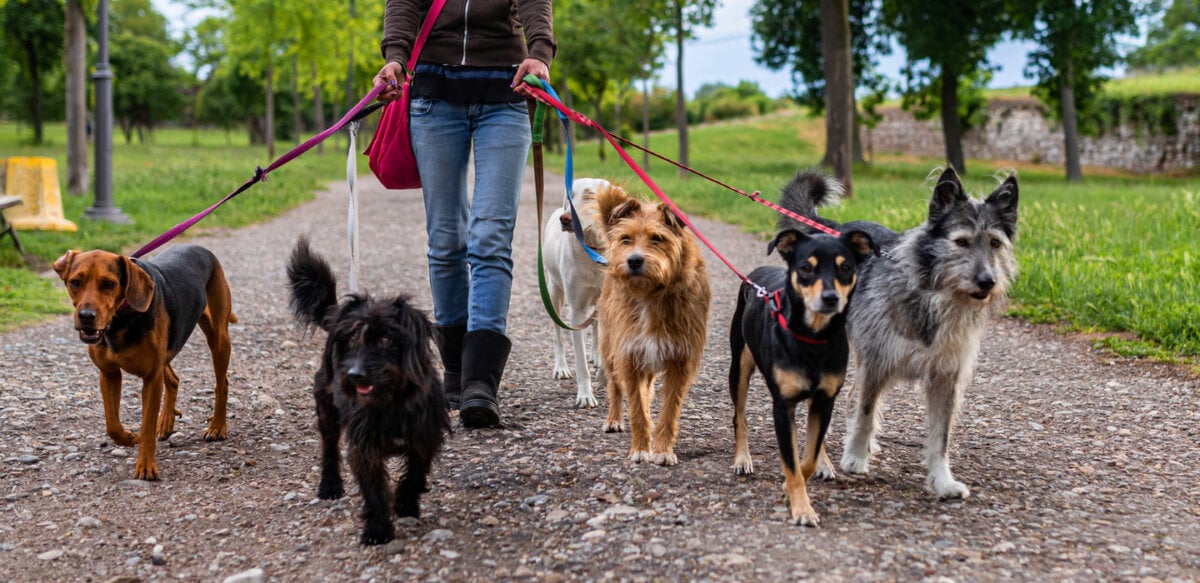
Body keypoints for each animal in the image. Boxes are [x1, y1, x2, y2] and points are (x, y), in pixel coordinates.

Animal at [53, 243, 236, 479]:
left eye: (109, 284)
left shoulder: (151, 377)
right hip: (167, 351)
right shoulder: (109, 374)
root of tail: (200, 248)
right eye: (75, 282)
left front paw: (146, 466)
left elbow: (147, 426)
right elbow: (112, 424)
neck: (119, 320)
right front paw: (130, 437)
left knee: (222, 384)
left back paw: (217, 426)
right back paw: (166, 422)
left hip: (218, 338)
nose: (86, 316)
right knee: (173, 380)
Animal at [285, 236, 451, 547]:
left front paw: (405, 503)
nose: (354, 374)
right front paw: (377, 529)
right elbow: (373, 488)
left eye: (386, 339)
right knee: (329, 447)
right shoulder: (364, 446)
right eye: (351, 338)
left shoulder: (425, 436)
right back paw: (329, 484)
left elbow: (415, 472)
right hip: (326, 409)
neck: (390, 401)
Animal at [547, 178, 614, 410]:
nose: (565, 218)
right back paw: (561, 367)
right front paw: (585, 395)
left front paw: (604, 375)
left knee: (595, 328)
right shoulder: (576, 311)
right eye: (570, 196)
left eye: (589, 196)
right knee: (558, 334)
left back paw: (596, 356)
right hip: (554, 294)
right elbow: (580, 362)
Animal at [724, 171, 878, 523]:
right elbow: (792, 461)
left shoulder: (825, 399)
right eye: (806, 268)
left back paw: (824, 462)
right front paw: (801, 507)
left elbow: (805, 456)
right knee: (740, 417)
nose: (830, 298)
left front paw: (798, 485)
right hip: (739, 366)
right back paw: (742, 459)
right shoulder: (783, 405)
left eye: (846, 268)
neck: (813, 339)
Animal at [782, 166, 1017, 499]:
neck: (930, 292)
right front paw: (855, 457)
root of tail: (835, 228)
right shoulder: (878, 362)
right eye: (961, 242)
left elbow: (940, 436)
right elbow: (866, 413)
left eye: (995, 243)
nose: (987, 281)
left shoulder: (946, 376)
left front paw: (942, 480)